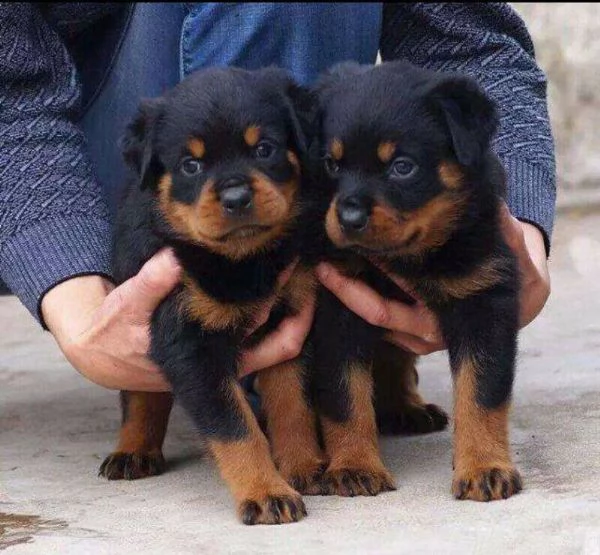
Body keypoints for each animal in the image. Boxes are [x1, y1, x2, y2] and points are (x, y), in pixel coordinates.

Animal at [99, 66, 324, 524]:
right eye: (191, 165)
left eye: (265, 149)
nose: (237, 197)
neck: (241, 261)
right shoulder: (189, 342)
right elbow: (235, 427)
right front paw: (267, 492)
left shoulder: (292, 322)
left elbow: (293, 404)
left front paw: (301, 465)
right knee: (139, 392)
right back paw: (132, 450)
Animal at [312, 62, 524, 504]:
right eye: (331, 164)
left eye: (402, 167)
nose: (349, 218)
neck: (408, 259)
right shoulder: (338, 307)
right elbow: (345, 395)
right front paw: (354, 465)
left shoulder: (485, 300)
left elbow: (481, 393)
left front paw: (484, 467)